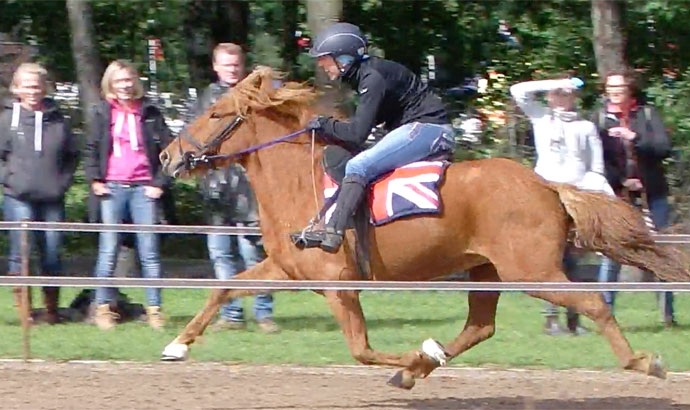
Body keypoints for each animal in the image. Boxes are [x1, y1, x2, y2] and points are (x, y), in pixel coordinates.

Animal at [157, 66, 688, 388]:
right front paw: (176, 345)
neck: (302, 183)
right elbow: (224, 288)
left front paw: (414, 360)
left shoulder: (339, 287)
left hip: (532, 271)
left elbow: (363, 350)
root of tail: (547, 184)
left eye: (214, 113)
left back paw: (644, 361)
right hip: (486, 271)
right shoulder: (287, 271)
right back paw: (430, 360)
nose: (166, 156)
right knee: (480, 326)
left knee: (594, 304)